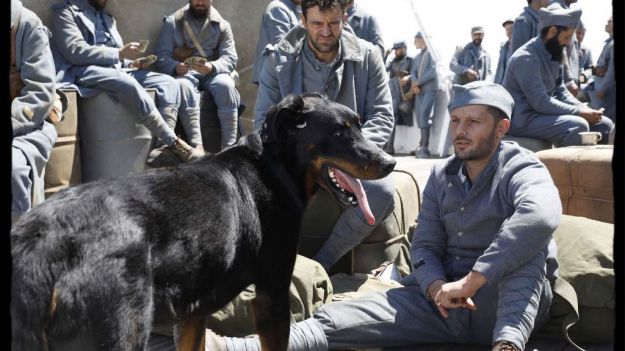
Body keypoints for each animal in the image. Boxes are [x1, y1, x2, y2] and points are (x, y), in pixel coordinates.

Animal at [11, 93, 394, 351]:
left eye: (359, 125)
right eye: (340, 132)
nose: (389, 162)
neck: (273, 165)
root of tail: (42, 240)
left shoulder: (191, 314)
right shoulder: (272, 296)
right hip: (121, 331)